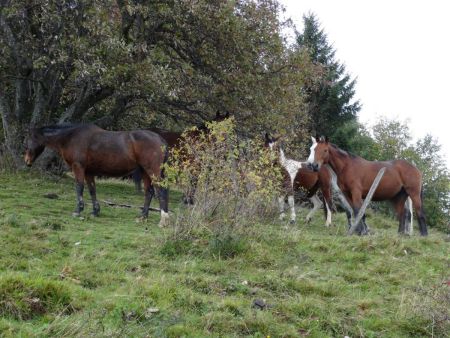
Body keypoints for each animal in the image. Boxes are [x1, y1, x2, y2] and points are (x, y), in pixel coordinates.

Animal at [24, 125, 170, 227]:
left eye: (28, 141)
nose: (27, 162)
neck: (71, 137)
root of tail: (160, 139)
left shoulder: (78, 167)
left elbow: (79, 187)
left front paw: (78, 210)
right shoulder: (89, 172)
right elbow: (92, 189)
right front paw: (95, 211)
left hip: (153, 171)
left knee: (160, 192)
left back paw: (163, 221)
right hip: (145, 172)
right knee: (149, 192)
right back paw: (143, 217)